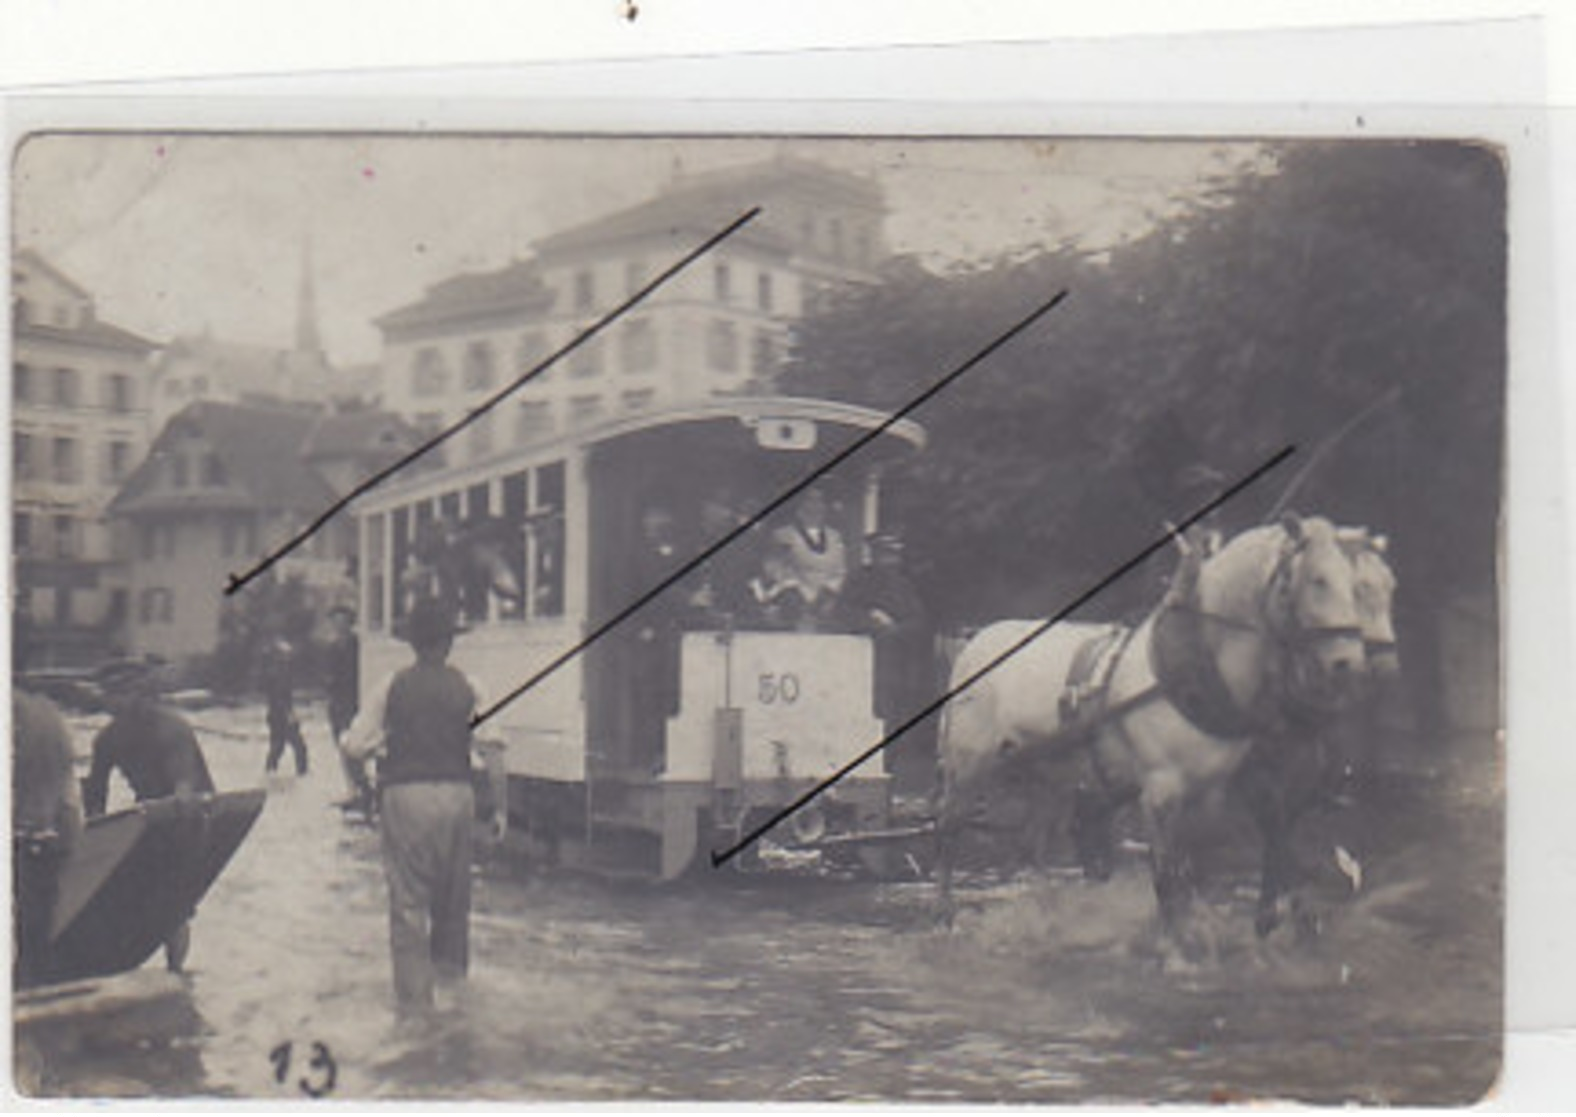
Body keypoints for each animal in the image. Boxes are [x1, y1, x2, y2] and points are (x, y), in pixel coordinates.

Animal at [932, 513, 1367, 938]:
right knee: (949, 831)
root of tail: (971, 643)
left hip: (1050, 776)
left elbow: (1221, 857)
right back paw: (946, 914)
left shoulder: (1223, 785)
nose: (1347, 661)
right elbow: (1166, 875)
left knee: (1033, 843)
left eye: (1353, 583)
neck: (1191, 662)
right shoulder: (1161, 790)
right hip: (969, 768)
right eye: (1317, 580)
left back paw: (1045, 913)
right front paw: (1176, 943)